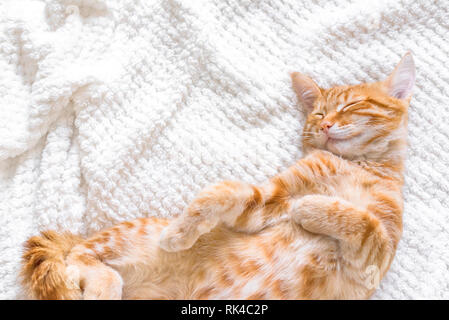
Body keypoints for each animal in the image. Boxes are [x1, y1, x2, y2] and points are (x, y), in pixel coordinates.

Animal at [21, 53, 414, 300]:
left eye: (351, 105)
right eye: (318, 113)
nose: (327, 125)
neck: (353, 165)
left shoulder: (372, 260)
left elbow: (363, 222)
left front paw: (311, 207)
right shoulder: (268, 201)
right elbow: (223, 192)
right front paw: (180, 231)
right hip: (127, 236)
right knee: (79, 255)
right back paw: (105, 284)